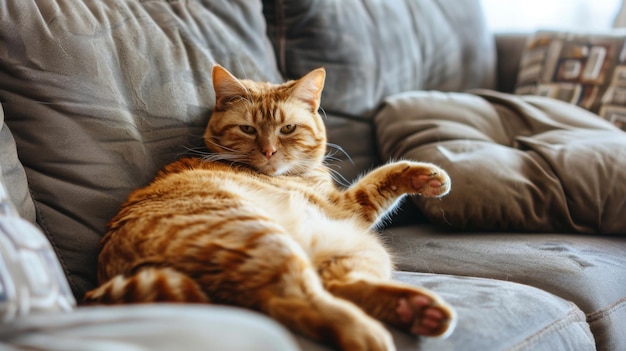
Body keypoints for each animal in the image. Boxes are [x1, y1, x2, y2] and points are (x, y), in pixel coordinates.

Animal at [84, 64, 454, 350]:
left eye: (287, 128)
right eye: (248, 129)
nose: (269, 151)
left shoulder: (348, 213)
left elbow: (381, 180)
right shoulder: (345, 206)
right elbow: (382, 177)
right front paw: (425, 175)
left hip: (358, 247)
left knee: (334, 285)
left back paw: (416, 310)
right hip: (262, 236)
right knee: (298, 300)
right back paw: (368, 334)